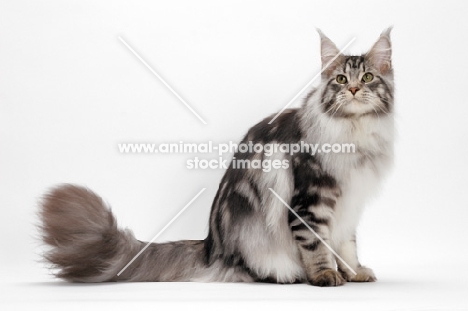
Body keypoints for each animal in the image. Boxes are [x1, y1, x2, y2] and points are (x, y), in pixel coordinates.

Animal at [38, 29, 394, 288]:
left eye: (367, 78)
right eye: (340, 80)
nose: (352, 91)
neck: (355, 132)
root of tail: (212, 248)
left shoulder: (350, 204)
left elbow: (347, 246)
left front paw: (354, 272)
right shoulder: (311, 201)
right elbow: (317, 246)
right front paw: (324, 275)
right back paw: (288, 275)